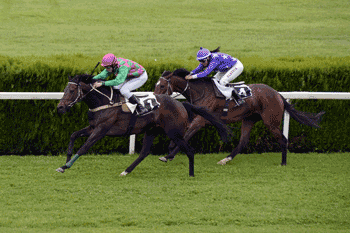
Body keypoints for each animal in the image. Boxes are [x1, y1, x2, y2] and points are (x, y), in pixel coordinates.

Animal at [55, 74, 232, 177]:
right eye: (64, 89)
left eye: (71, 90)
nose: (60, 108)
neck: (105, 102)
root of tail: (182, 104)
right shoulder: (92, 127)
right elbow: (73, 135)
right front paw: (67, 159)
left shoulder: (101, 130)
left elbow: (84, 147)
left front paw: (65, 165)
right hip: (151, 130)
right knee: (144, 152)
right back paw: (126, 171)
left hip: (173, 133)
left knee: (189, 150)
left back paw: (191, 174)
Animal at [154, 68, 326, 166]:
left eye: (161, 85)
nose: (155, 100)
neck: (201, 91)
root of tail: (278, 94)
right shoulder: (194, 117)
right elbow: (181, 133)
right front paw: (170, 149)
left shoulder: (201, 120)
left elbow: (187, 135)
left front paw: (168, 156)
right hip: (248, 119)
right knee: (243, 141)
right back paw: (225, 159)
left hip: (271, 122)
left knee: (283, 140)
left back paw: (283, 163)